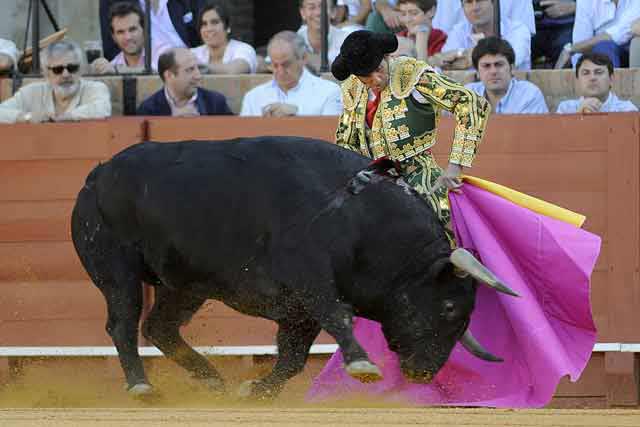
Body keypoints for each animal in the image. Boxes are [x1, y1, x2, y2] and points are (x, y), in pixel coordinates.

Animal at [72, 138, 516, 402]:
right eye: (448, 308)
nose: (424, 373)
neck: (356, 217)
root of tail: (97, 174)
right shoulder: (310, 282)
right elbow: (338, 317)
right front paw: (363, 366)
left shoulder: (297, 311)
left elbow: (293, 359)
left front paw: (254, 390)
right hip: (117, 269)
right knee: (123, 324)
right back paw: (141, 385)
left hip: (182, 285)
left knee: (160, 327)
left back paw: (213, 380)